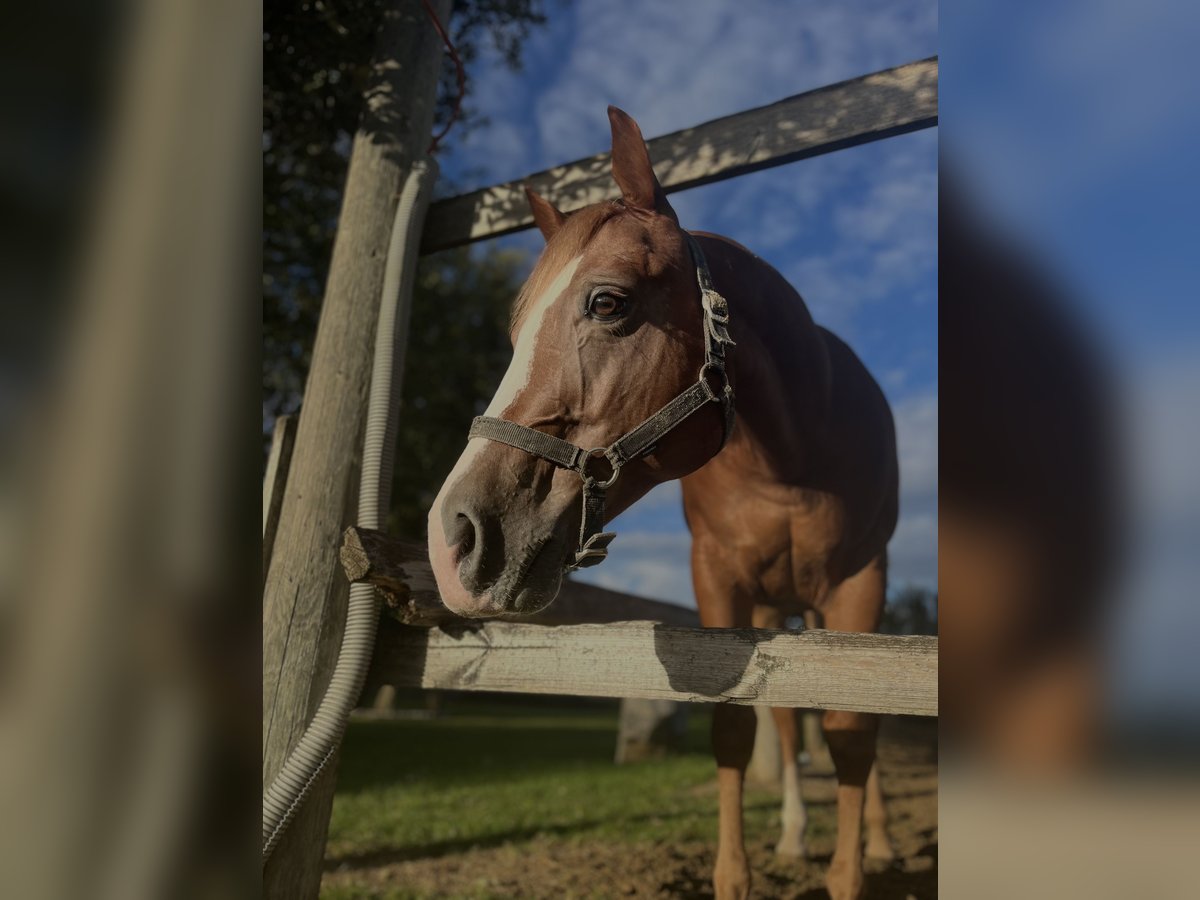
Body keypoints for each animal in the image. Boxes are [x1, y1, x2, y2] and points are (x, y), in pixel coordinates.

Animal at [427, 107, 897, 900]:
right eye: (515, 333)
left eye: (607, 302)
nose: (451, 540)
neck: (790, 460)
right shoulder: (719, 581)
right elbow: (740, 730)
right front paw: (741, 873)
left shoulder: (859, 587)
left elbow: (857, 728)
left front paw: (856, 866)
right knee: (786, 716)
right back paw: (795, 832)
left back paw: (884, 841)